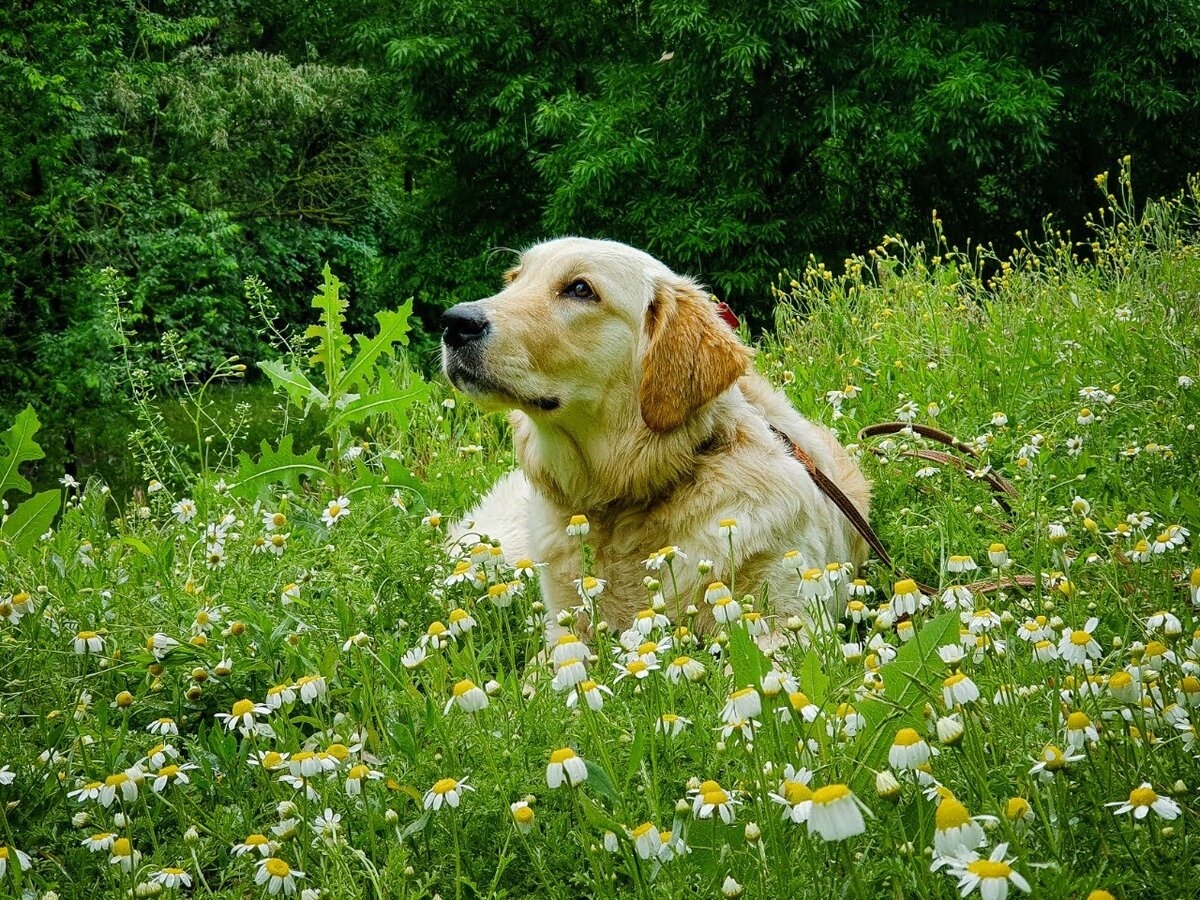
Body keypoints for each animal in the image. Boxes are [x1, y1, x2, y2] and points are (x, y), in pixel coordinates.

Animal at [439, 236, 864, 643]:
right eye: (513, 280)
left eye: (580, 289)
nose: (453, 322)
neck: (623, 499)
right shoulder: (562, 629)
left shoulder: (788, 616)